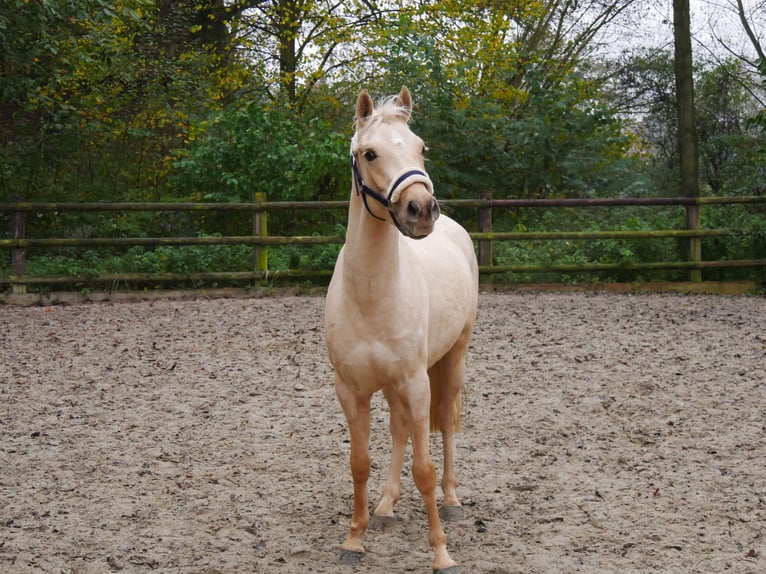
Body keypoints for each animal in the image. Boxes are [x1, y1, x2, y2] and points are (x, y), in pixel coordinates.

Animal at [326, 86, 480, 574]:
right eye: (369, 153)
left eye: (421, 148)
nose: (422, 209)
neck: (372, 294)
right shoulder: (352, 389)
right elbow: (360, 462)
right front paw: (354, 538)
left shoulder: (416, 383)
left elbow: (425, 469)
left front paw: (442, 552)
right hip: (395, 386)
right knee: (398, 432)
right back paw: (386, 507)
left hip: (451, 361)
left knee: (445, 425)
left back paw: (452, 502)